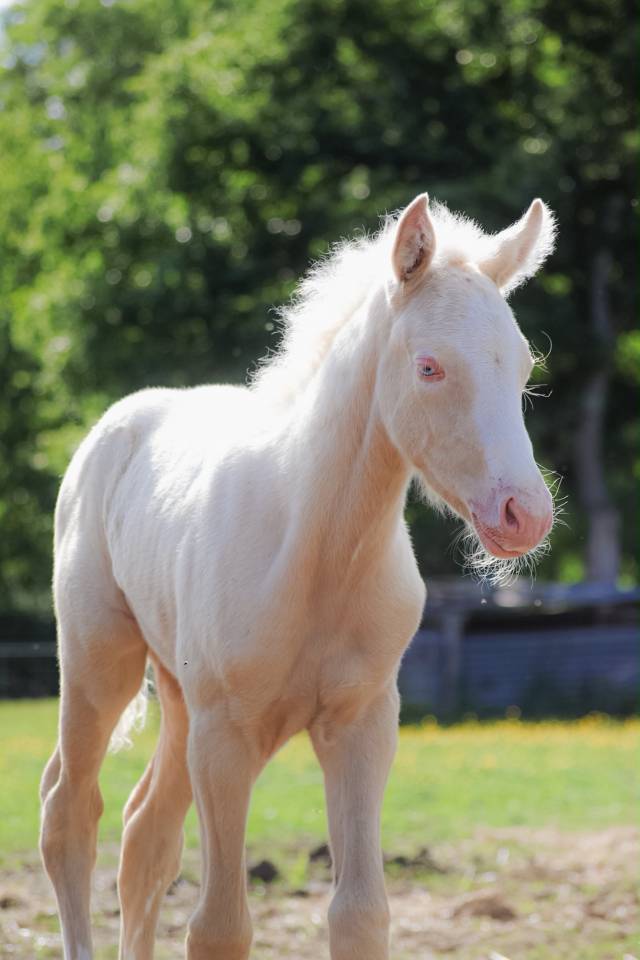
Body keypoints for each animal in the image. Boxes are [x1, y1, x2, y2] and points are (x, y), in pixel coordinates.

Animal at [39, 192, 556, 960]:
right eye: (429, 368)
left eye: (521, 366)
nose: (525, 514)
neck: (317, 551)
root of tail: (115, 424)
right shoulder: (225, 736)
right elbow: (220, 926)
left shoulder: (363, 724)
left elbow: (359, 913)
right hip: (99, 663)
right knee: (72, 812)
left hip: (179, 698)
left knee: (144, 836)